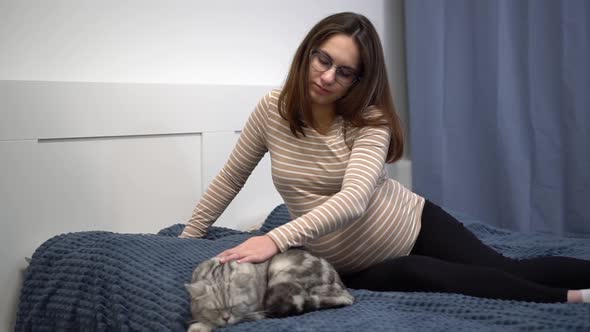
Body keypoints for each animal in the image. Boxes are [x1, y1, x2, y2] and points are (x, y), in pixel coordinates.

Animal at [185, 249, 354, 332]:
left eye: (234, 307)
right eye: (215, 310)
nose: (226, 318)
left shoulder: (256, 312)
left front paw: (199, 327)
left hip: (281, 273)